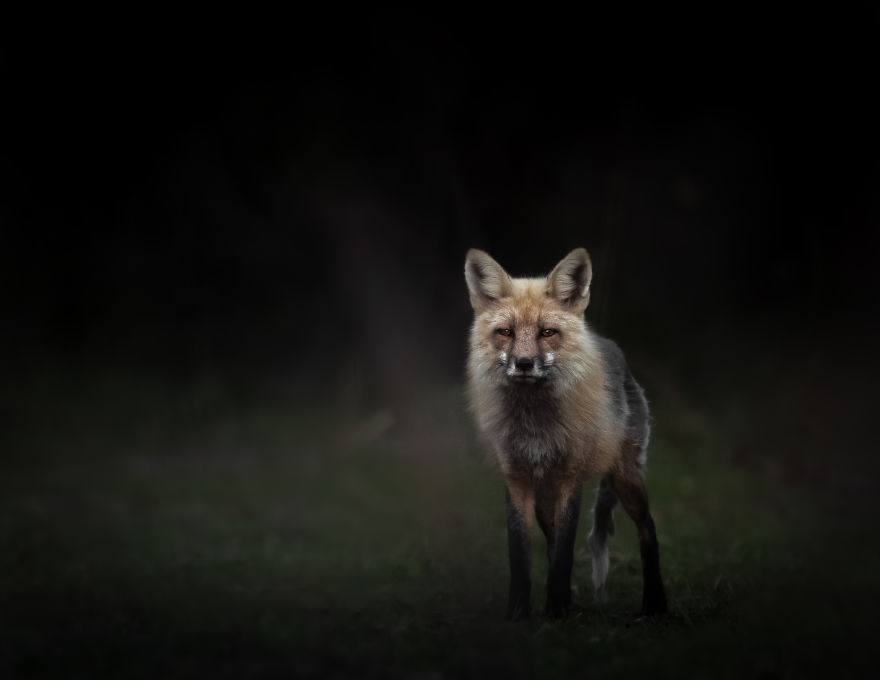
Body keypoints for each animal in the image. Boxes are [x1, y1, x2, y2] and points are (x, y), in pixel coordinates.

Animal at [464, 247, 667, 620]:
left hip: (626, 478)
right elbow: (523, 554)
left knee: (648, 530)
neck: (535, 427)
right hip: (546, 495)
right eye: (506, 332)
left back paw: (655, 604)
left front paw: (556, 611)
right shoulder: (517, 477)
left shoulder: (569, 476)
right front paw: (520, 613)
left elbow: (565, 551)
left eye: (547, 332)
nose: (524, 364)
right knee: (552, 541)